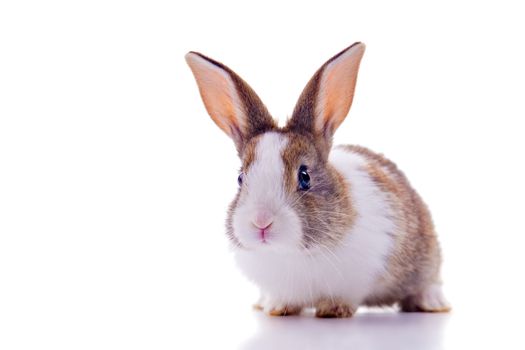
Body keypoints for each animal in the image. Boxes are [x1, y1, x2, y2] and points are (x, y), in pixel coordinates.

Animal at [185, 42, 450, 318]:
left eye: (304, 176)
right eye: (240, 178)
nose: (261, 222)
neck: (290, 254)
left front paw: (334, 309)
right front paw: (277, 308)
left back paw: (431, 303)